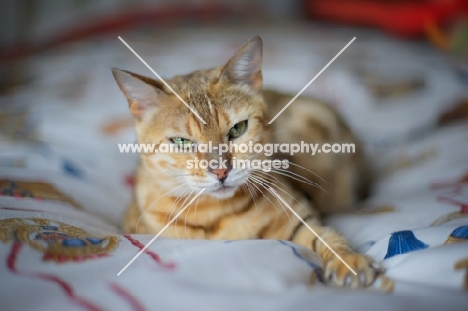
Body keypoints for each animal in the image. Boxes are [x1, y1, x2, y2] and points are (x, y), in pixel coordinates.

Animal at [112, 36, 392, 292]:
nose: (221, 170)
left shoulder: (298, 220)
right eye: (181, 141)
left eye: (238, 129)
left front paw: (349, 260)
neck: (218, 213)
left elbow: (325, 237)